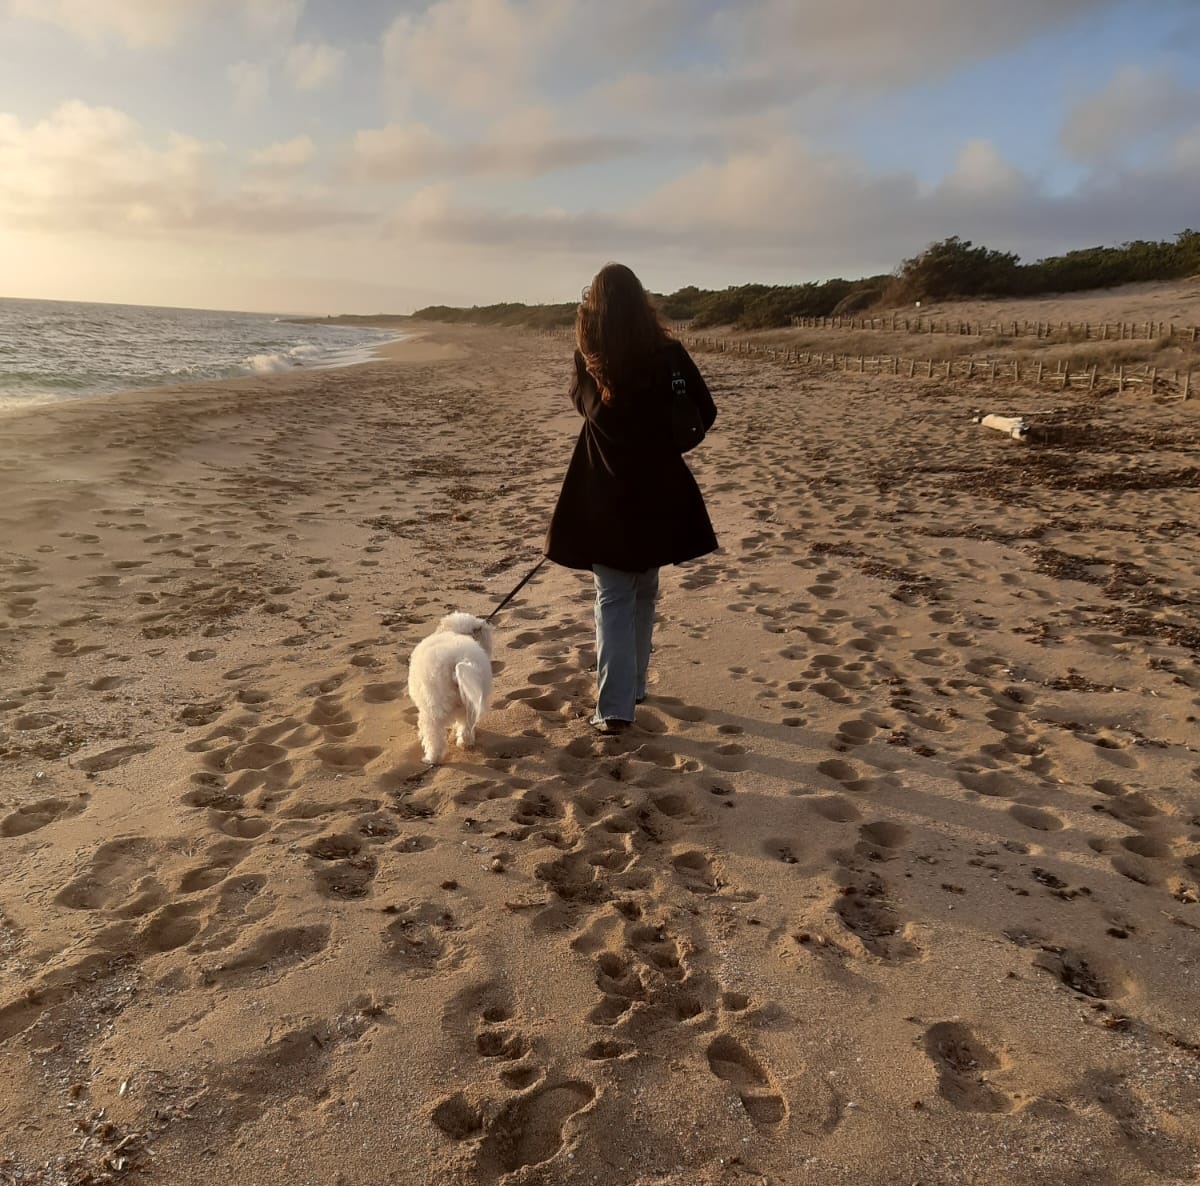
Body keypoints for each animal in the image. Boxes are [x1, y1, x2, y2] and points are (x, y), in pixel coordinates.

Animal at [408, 614, 492, 763]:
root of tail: (460, 659)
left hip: (432, 708)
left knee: (433, 735)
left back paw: (431, 758)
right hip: (468, 703)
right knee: (466, 726)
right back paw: (466, 743)